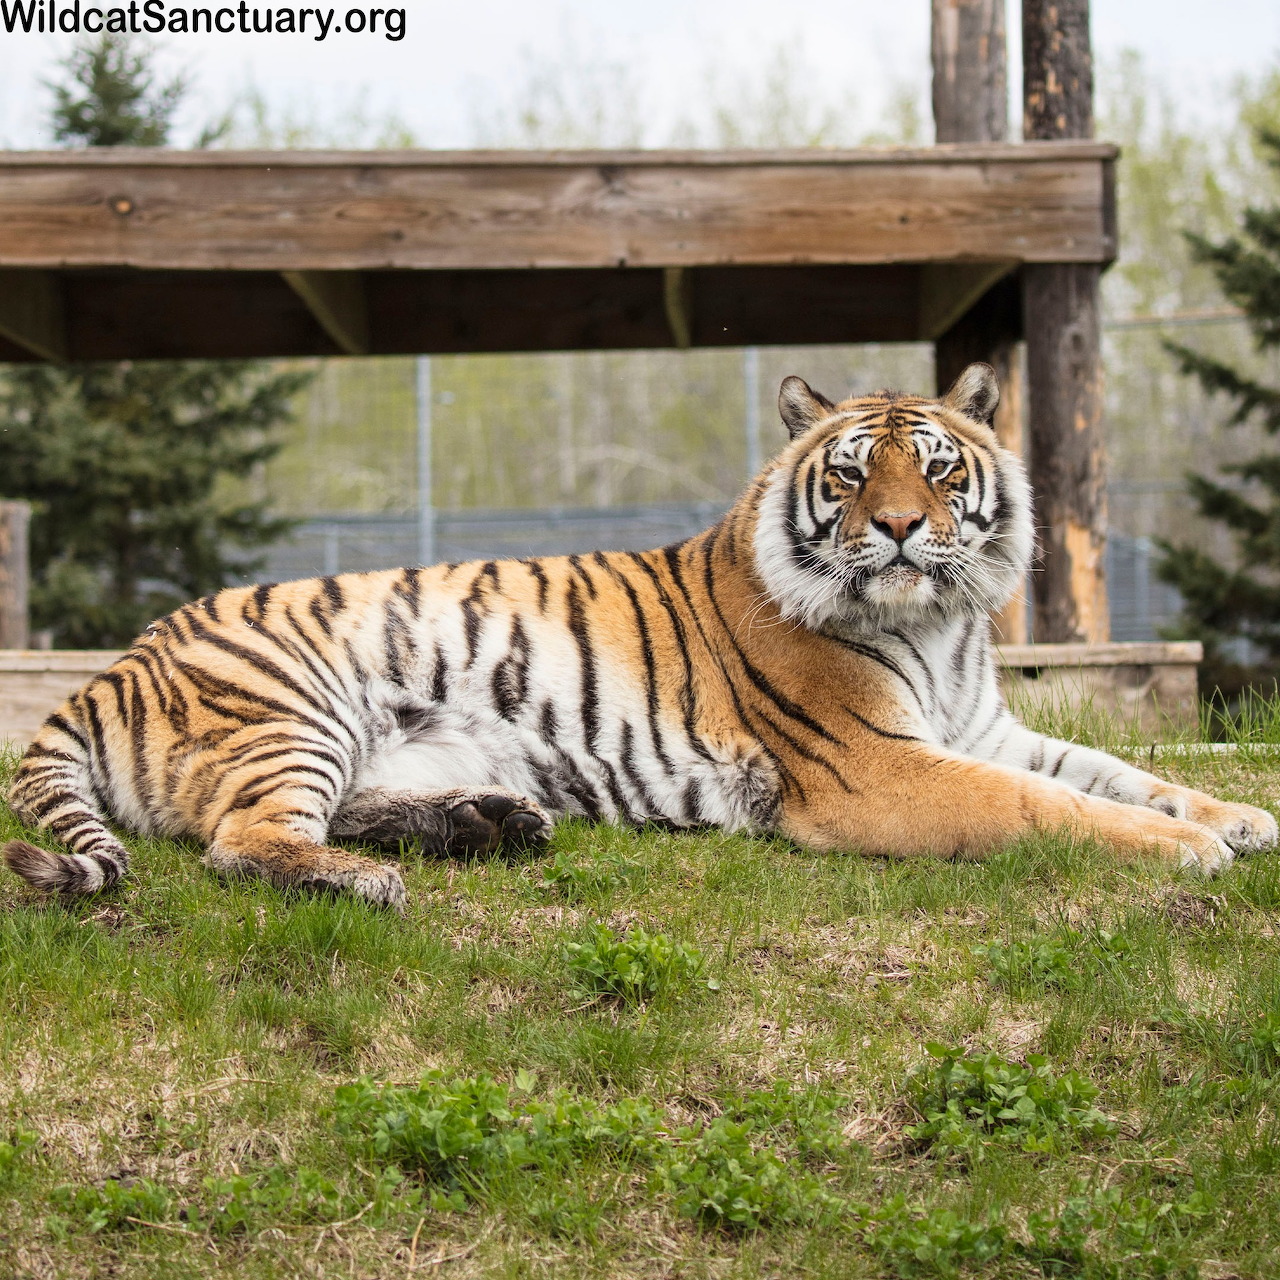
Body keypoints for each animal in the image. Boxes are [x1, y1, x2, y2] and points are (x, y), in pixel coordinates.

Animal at [4, 363, 1275, 910]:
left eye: (937, 467)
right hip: (295, 708)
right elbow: (1050, 806)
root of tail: (116, 664)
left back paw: (488, 824)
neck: (940, 624)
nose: (901, 527)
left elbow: (1114, 769)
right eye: (852, 474)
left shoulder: (980, 729)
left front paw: (1237, 816)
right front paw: (1185, 851)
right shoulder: (874, 767)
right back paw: (370, 876)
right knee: (241, 841)